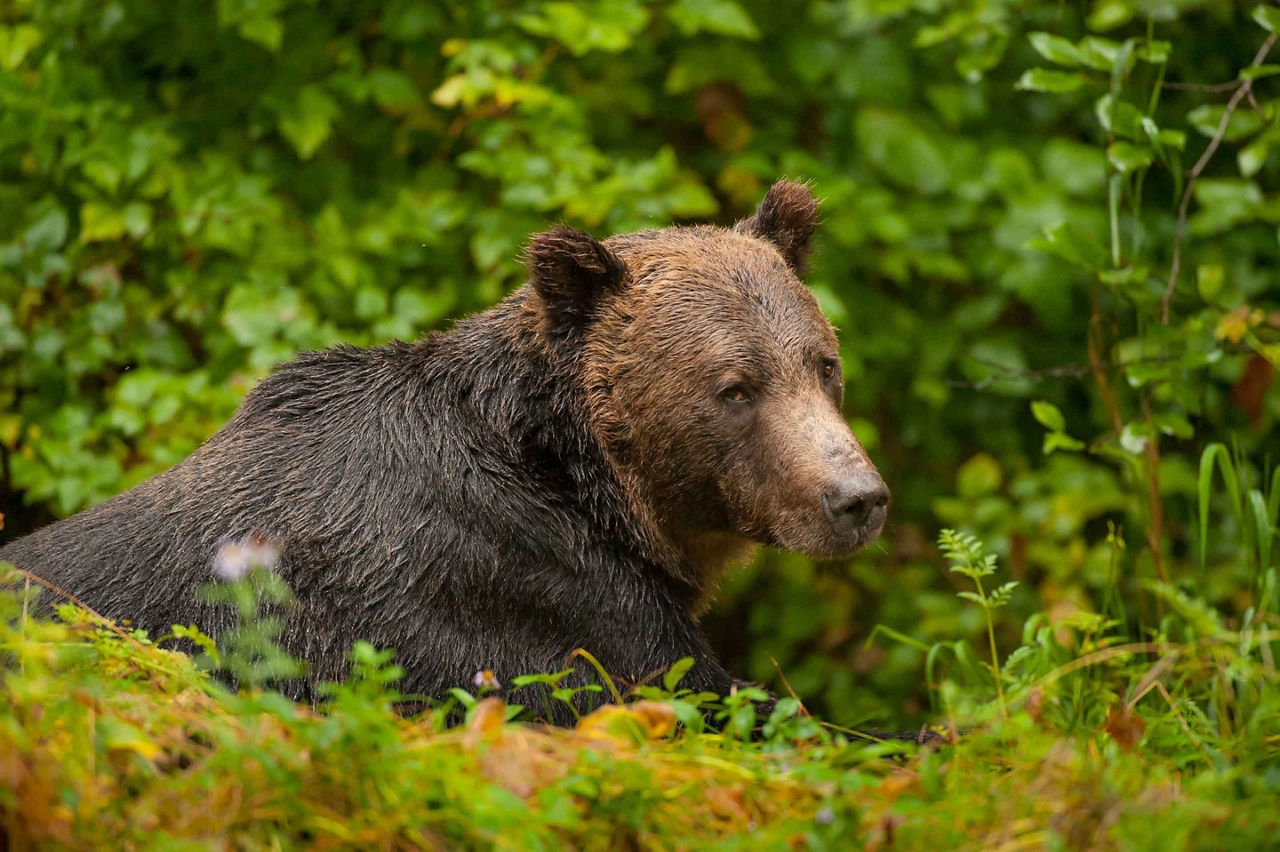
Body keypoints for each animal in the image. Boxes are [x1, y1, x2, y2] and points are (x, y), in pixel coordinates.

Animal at [2, 177, 890, 716]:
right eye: (735, 387)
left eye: (823, 362)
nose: (857, 500)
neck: (589, 486)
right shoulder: (517, 590)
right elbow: (692, 695)